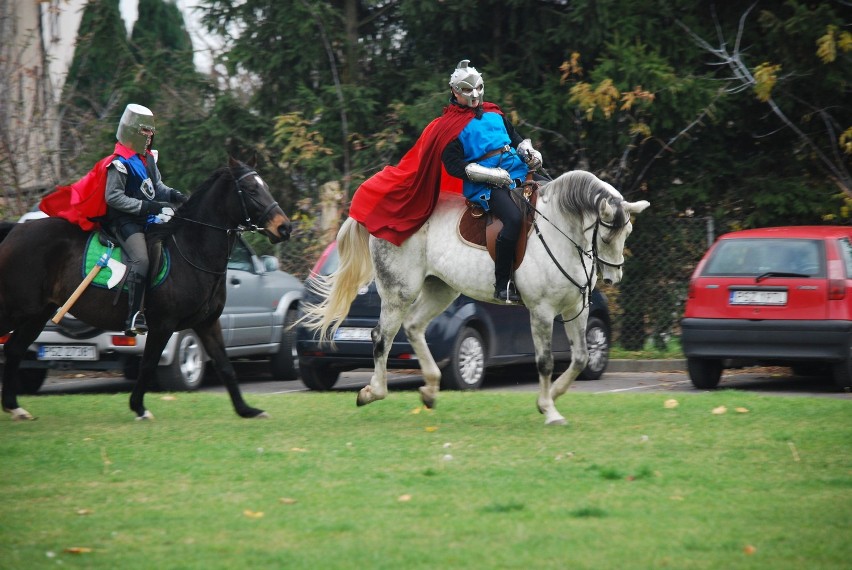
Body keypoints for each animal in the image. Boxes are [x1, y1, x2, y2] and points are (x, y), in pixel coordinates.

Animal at [0, 158, 292, 420]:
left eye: (264, 186)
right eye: (251, 190)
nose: (285, 227)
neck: (193, 251)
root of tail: (15, 229)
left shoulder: (208, 323)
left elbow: (225, 366)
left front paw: (247, 410)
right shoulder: (163, 325)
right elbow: (148, 364)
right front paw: (139, 408)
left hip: (36, 314)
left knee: (13, 350)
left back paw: (15, 408)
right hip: (17, 309)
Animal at [302, 171, 648, 424]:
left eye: (627, 233)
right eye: (607, 236)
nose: (612, 278)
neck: (560, 232)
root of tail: (380, 220)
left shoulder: (577, 309)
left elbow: (581, 358)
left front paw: (552, 398)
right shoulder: (542, 311)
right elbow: (546, 362)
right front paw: (549, 409)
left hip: (440, 289)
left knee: (413, 327)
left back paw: (430, 389)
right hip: (401, 291)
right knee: (381, 337)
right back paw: (373, 392)